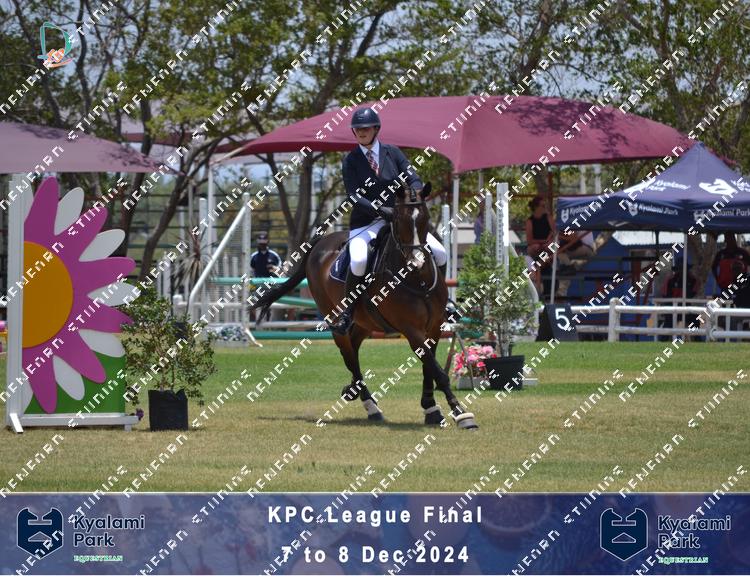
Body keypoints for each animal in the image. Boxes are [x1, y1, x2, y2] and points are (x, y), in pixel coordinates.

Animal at [250, 180, 478, 430]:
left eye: (425, 218)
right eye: (399, 219)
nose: (417, 262)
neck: (416, 279)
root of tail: (320, 244)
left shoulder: (435, 326)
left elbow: (430, 368)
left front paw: (432, 409)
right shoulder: (411, 330)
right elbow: (436, 369)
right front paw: (461, 413)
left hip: (365, 321)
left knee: (354, 345)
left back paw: (354, 390)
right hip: (334, 316)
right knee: (348, 352)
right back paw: (370, 405)